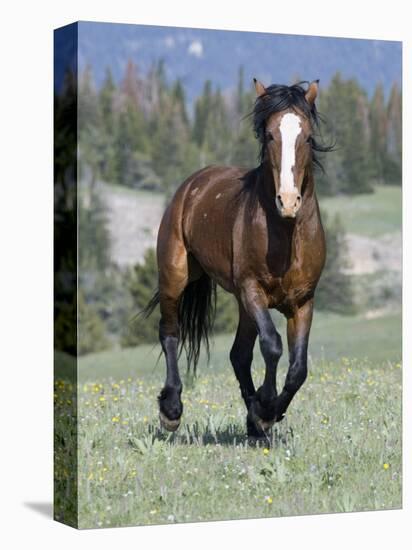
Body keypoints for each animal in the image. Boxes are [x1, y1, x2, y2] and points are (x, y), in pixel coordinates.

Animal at [143, 78, 334, 440]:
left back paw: (253, 422)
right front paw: (266, 408)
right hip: (176, 277)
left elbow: (298, 368)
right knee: (170, 333)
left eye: (306, 137)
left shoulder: (303, 301)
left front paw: (265, 413)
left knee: (239, 355)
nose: (288, 201)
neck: (285, 232)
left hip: (244, 306)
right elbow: (272, 346)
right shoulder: (252, 290)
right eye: (270, 134)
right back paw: (171, 410)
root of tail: (193, 184)